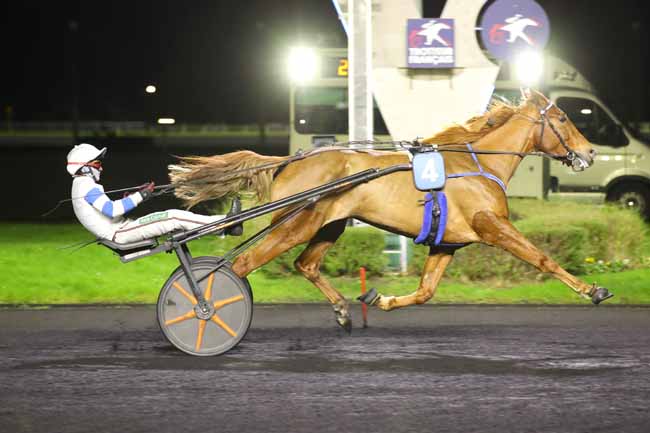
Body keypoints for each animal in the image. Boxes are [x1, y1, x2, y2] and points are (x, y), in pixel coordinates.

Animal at [170, 89, 612, 330]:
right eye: (563, 117)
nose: (590, 152)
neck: (479, 164)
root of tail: (289, 159)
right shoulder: (492, 224)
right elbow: (543, 258)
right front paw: (593, 290)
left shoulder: (447, 242)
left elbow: (426, 291)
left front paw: (379, 299)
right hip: (295, 223)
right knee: (240, 267)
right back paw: (208, 311)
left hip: (330, 224)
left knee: (305, 264)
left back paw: (342, 310)